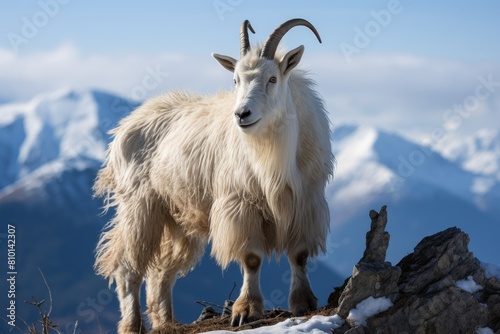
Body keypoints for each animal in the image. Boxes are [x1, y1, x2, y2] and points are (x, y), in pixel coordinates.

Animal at [95, 18, 334, 334]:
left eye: (272, 79)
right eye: (235, 80)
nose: (242, 114)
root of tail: (123, 128)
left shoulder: (306, 203)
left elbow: (299, 254)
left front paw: (304, 302)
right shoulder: (240, 205)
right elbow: (252, 258)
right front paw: (247, 310)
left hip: (178, 217)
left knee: (162, 271)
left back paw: (166, 322)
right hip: (140, 208)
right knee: (128, 268)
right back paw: (133, 325)